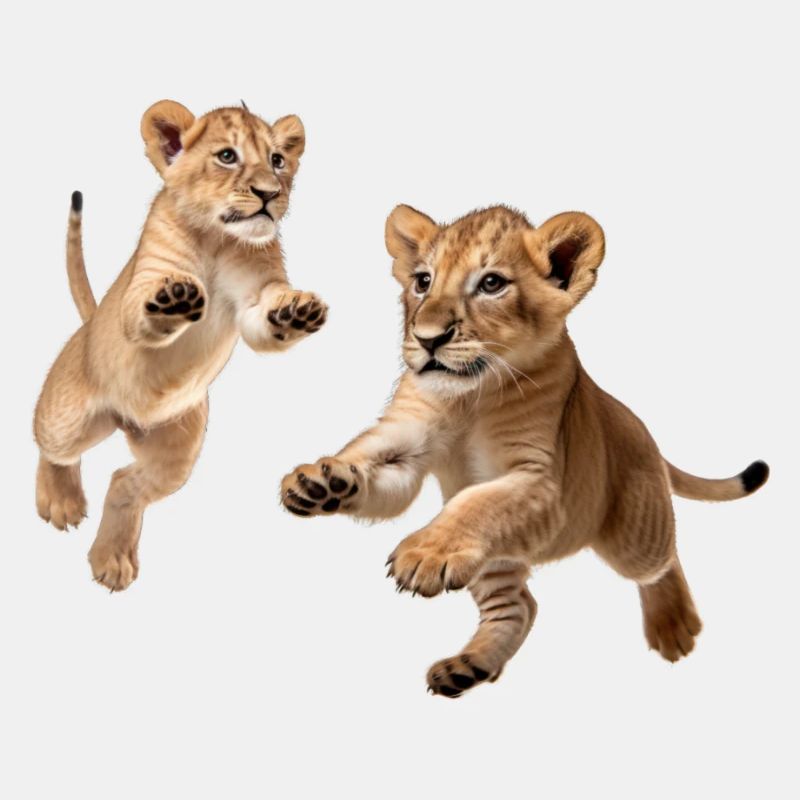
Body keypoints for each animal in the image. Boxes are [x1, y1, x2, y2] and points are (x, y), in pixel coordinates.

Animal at [35, 100, 327, 592]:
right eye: (227, 156)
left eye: (277, 160)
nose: (269, 194)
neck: (217, 237)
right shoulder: (145, 279)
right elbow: (144, 310)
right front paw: (176, 298)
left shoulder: (254, 295)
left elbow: (264, 318)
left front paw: (296, 311)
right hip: (68, 417)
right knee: (53, 448)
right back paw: (60, 501)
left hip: (177, 450)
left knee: (124, 482)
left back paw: (112, 558)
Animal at [280, 204, 769, 697]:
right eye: (423, 281)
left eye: (491, 283)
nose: (427, 338)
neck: (470, 397)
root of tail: (639, 427)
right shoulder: (408, 440)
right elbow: (373, 463)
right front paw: (320, 482)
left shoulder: (542, 481)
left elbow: (473, 501)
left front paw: (424, 554)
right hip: (495, 561)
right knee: (520, 605)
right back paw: (467, 667)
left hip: (634, 531)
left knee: (664, 559)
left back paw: (674, 626)